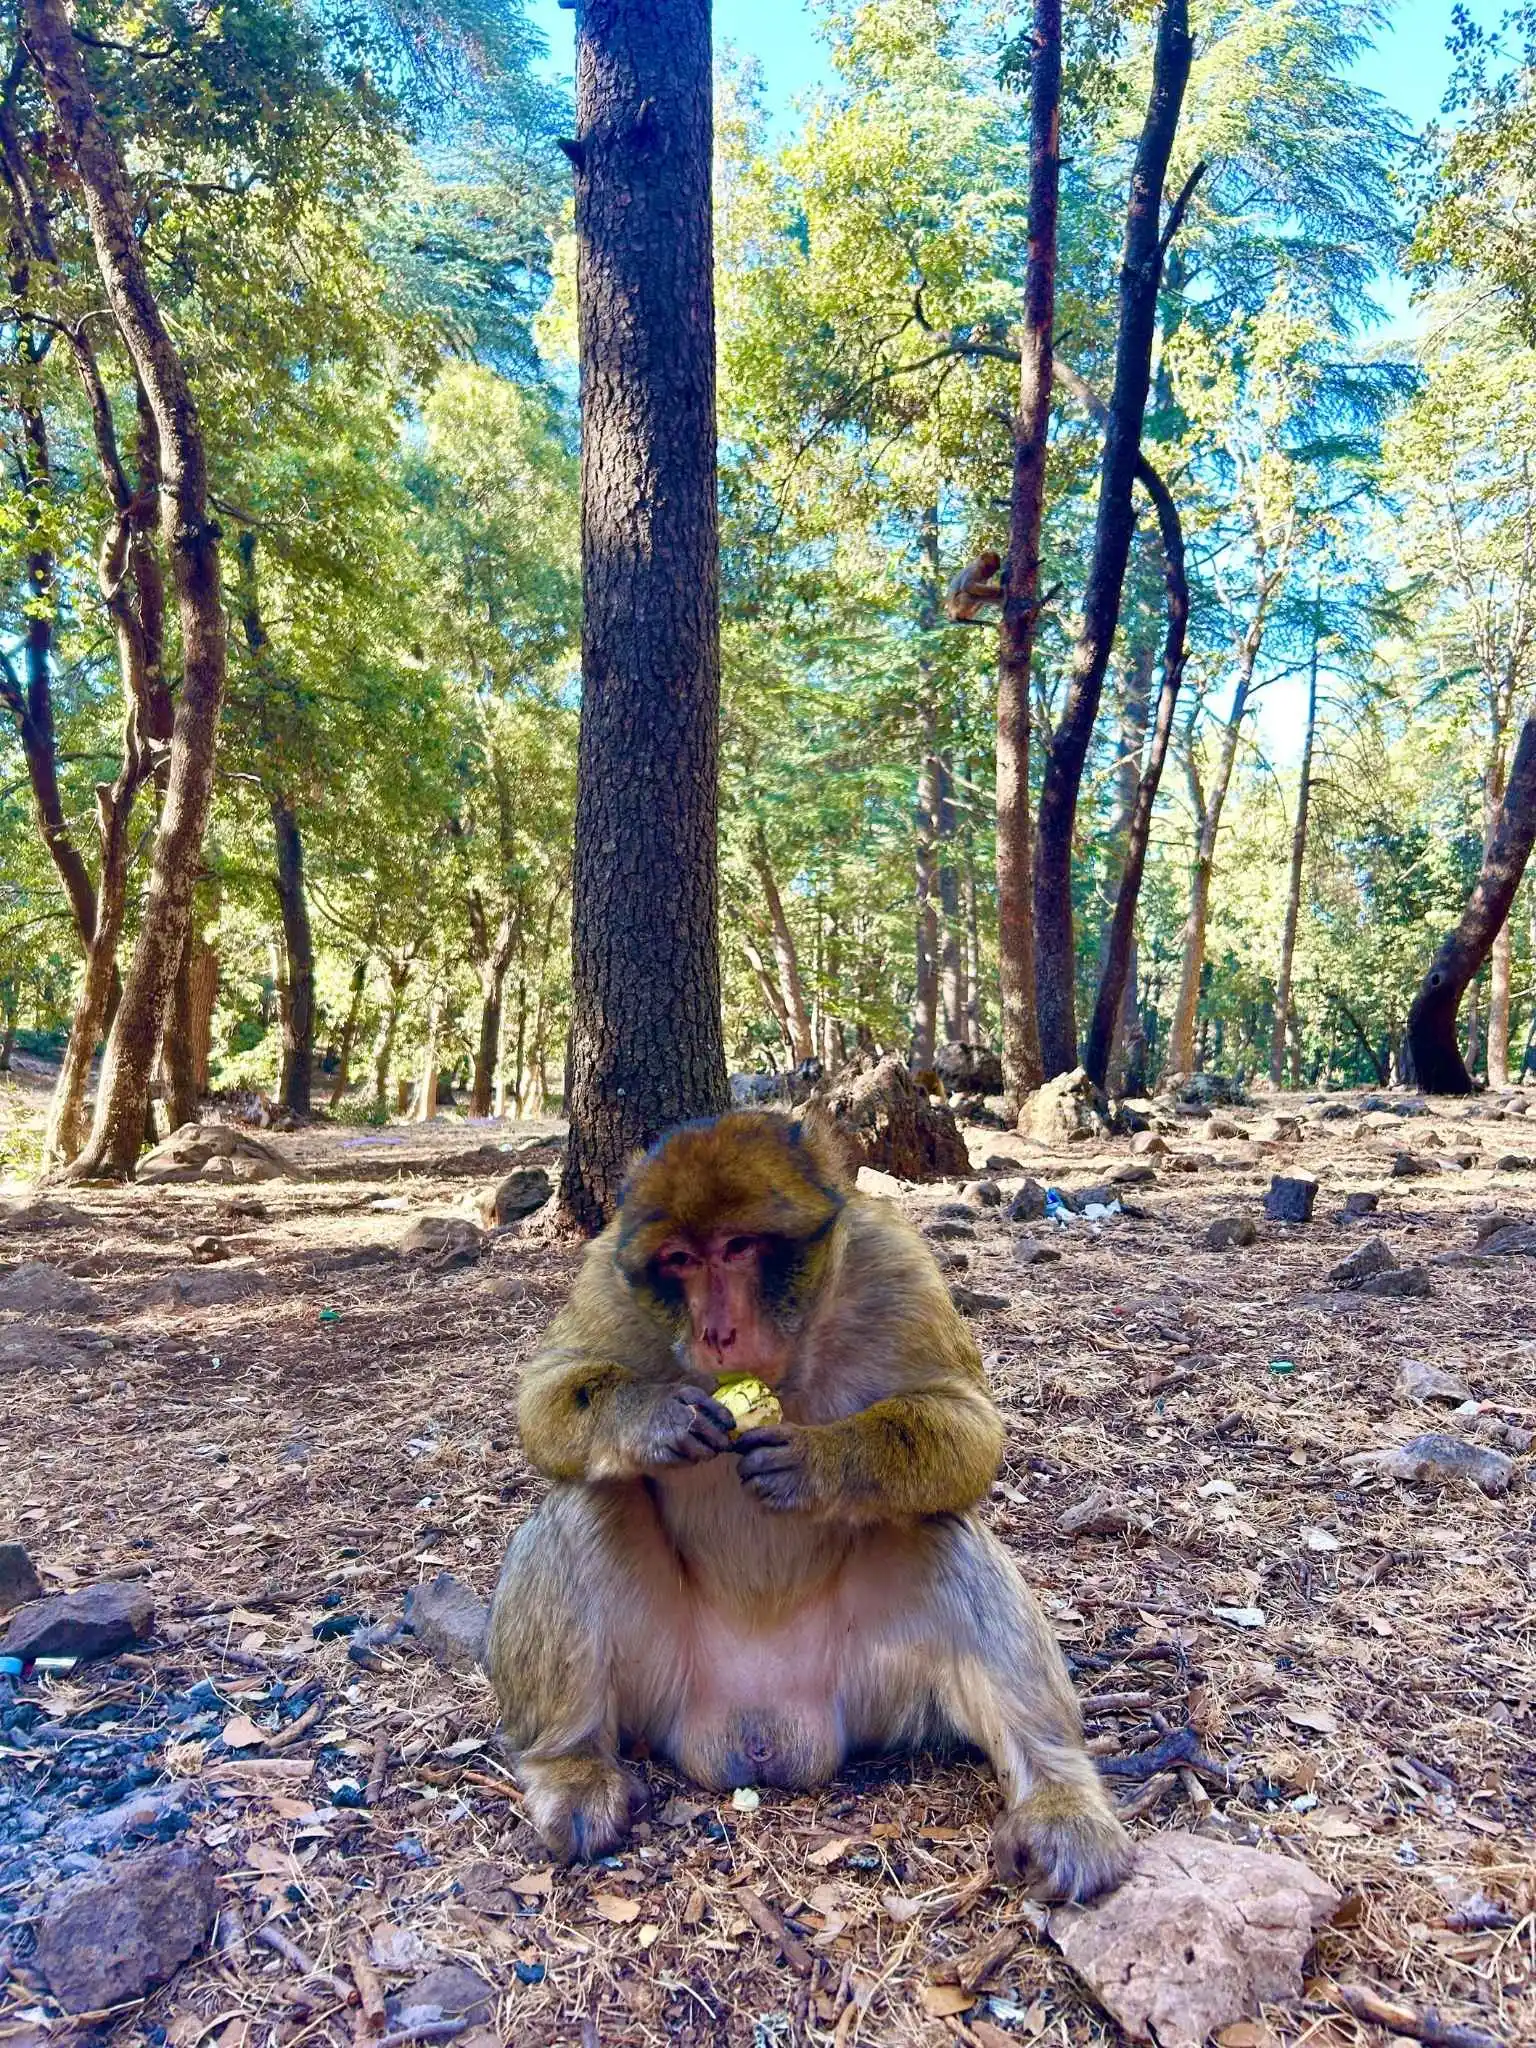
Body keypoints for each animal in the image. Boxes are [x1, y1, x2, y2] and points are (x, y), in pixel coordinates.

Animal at [484, 1111, 1131, 1902]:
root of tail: (761, 1732)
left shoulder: (894, 1264)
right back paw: (569, 1765)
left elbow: (971, 1429)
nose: (716, 1333)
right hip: (658, 1687)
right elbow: (544, 1400)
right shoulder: (608, 1276)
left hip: (874, 1687)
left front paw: (821, 1462)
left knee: (942, 1531)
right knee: (584, 1501)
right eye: (679, 1259)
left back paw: (1060, 1797)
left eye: (737, 1248)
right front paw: (651, 1418)